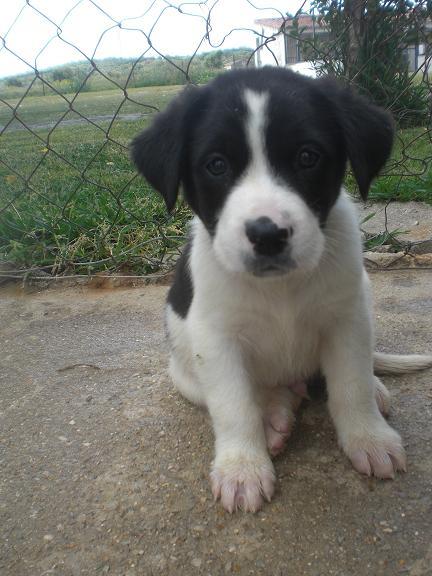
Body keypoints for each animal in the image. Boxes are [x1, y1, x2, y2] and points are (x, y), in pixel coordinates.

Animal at [132, 67, 432, 512]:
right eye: (216, 165)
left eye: (308, 157)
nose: (267, 235)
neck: (280, 288)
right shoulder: (216, 339)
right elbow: (234, 406)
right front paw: (242, 468)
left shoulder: (347, 319)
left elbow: (351, 384)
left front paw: (368, 438)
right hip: (185, 373)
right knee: (261, 394)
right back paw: (273, 417)